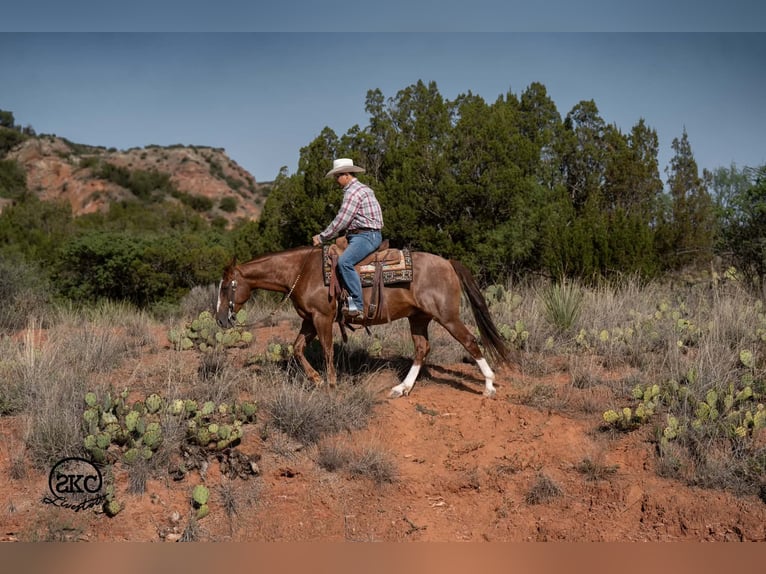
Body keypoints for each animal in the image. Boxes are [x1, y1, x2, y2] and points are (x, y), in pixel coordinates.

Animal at [215, 245, 511, 398]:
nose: (219, 319)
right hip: (419, 318)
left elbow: (327, 350)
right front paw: (316, 380)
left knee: (470, 341)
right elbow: (297, 348)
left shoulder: (322, 318)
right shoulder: (309, 321)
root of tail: (448, 262)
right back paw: (402, 388)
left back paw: (489, 385)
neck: (301, 271)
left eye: (226, 287)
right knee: (421, 349)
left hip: (447, 317)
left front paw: (331, 385)